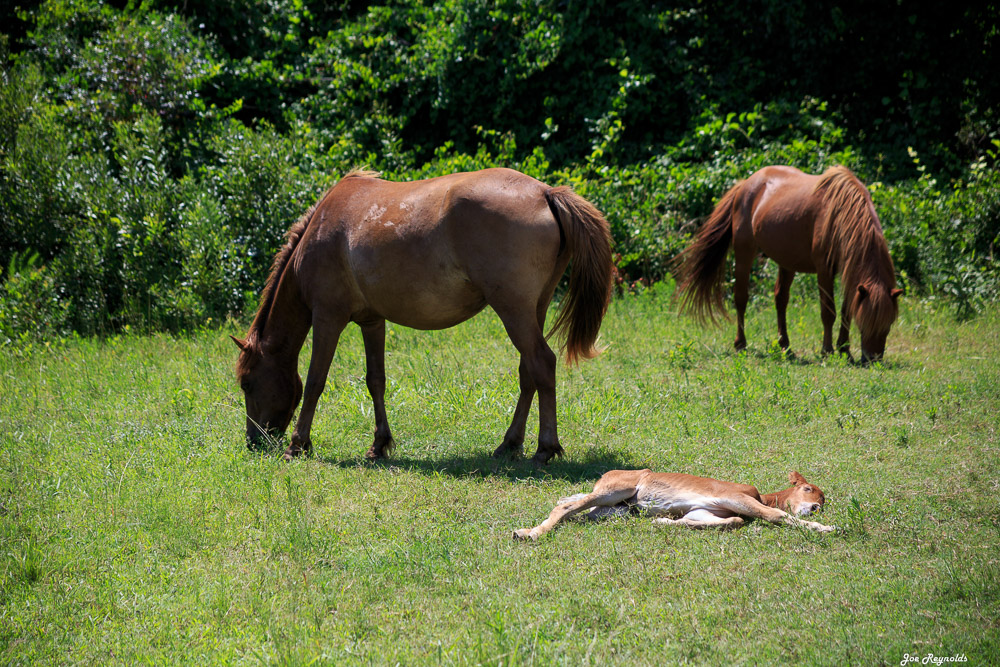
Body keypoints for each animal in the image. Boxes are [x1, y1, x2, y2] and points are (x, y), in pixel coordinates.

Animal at [232, 168, 616, 464]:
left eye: (246, 383)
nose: (254, 441)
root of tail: (544, 193)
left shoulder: (328, 318)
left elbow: (315, 382)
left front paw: (298, 444)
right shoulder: (372, 321)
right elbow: (375, 380)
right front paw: (380, 444)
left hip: (513, 310)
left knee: (542, 364)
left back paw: (544, 448)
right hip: (533, 309)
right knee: (528, 372)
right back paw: (509, 444)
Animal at [676, 168, 904, 366]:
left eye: (888, 324)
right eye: (866, 323)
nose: (873, 359)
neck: (840, 214)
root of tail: (746, 184)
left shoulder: (849, 274)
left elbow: (846, 312)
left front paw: (845, 351)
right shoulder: (824, 270)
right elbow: (828, 312)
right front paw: (828, 351)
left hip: (786, 261)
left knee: (780, 300)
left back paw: (785, 347)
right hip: (744, 254)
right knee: (741, 299)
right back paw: (741, 344)